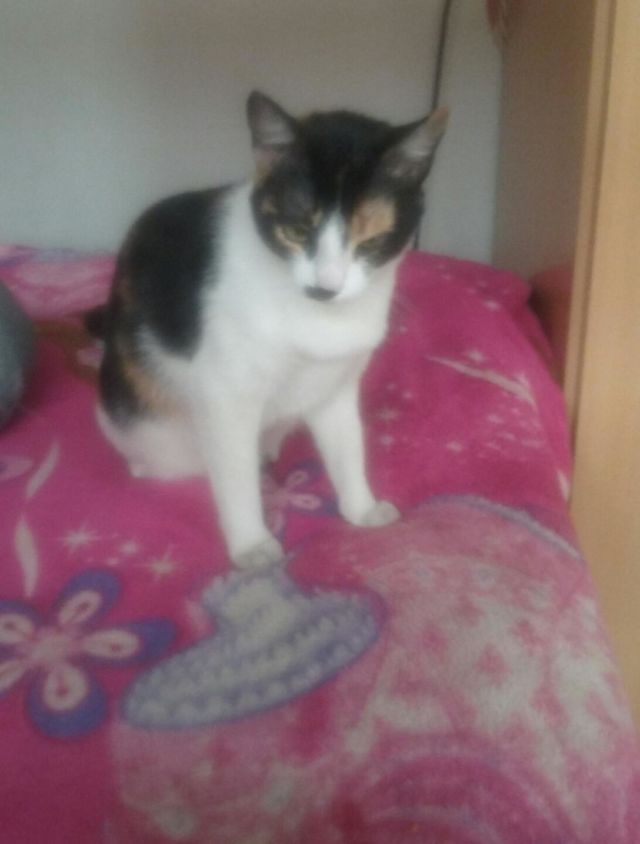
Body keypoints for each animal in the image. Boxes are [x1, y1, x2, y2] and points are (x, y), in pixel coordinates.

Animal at [88, 92, 448, 569]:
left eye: (371, 241)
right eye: (296, 230)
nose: (324, 286)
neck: (316, 319)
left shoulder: (336, 384)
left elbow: (348, 445)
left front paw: (362, 508)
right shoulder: (226, 398)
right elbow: (236, 477)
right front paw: (252, 545)